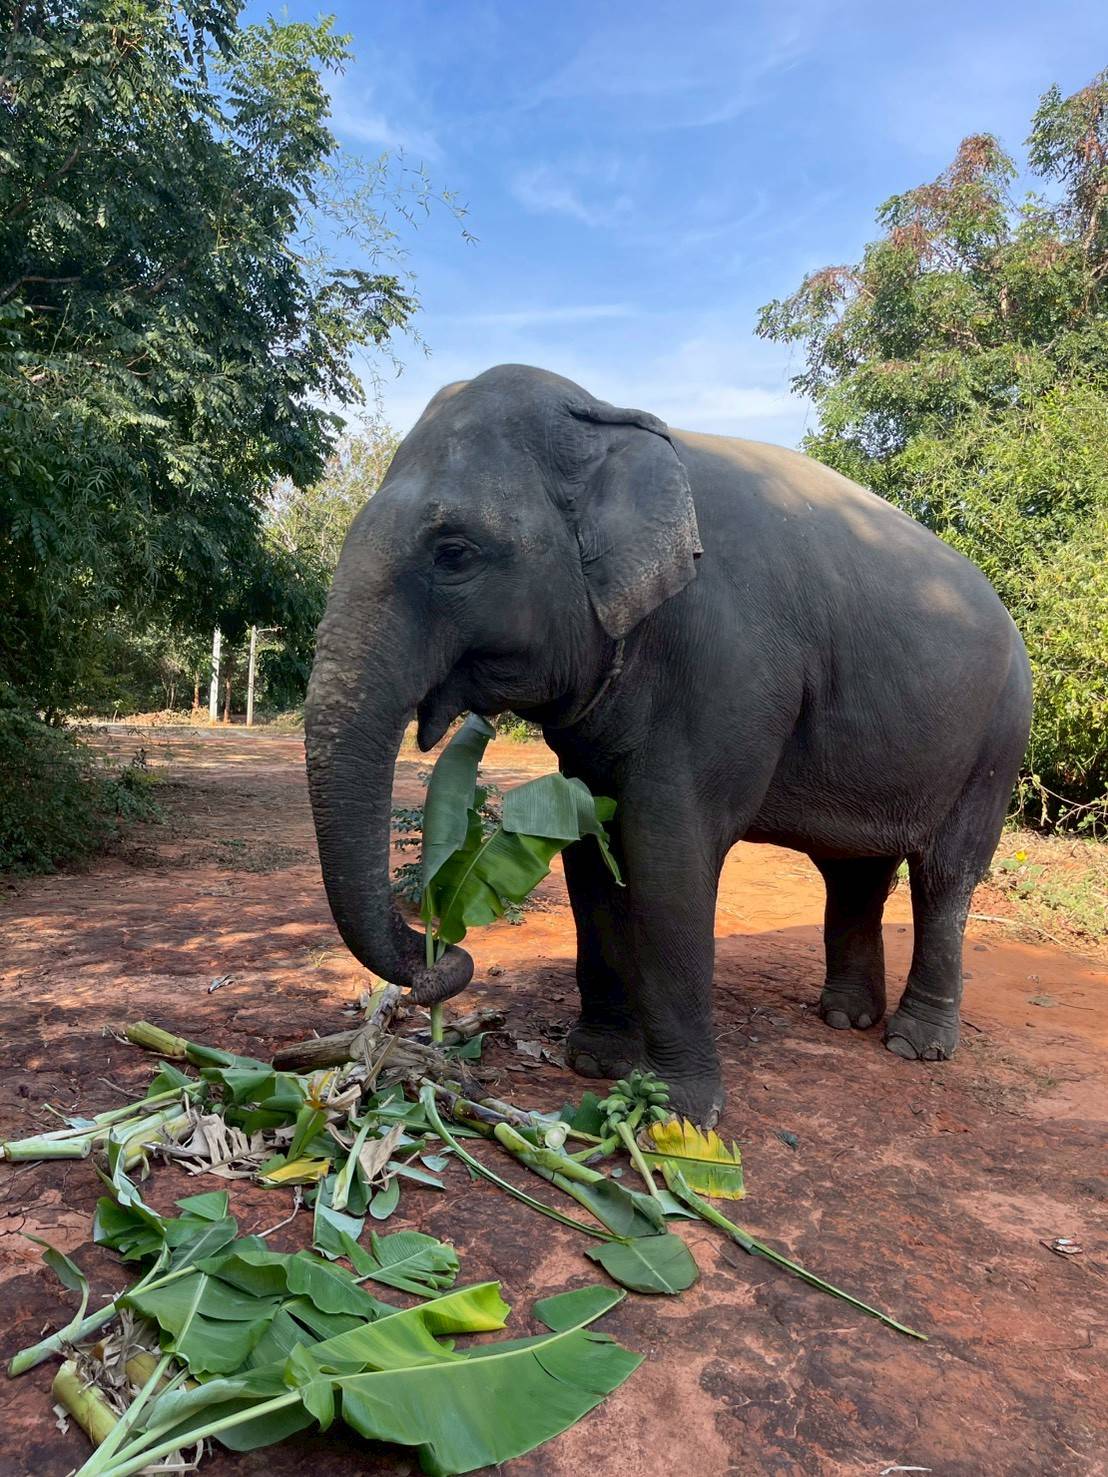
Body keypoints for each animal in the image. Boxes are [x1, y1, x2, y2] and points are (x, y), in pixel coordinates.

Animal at [305, 363, 1032, 1125]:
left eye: (453, 553)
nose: (443, 959)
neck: (610, 419)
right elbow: (589, 850)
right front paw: (596, 1062)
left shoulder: (728, 668)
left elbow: (668, 852)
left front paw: (675, 1112)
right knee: (854, 871)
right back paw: (845, 1019)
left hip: (999, 738)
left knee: (946, 874)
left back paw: (915, 1045)